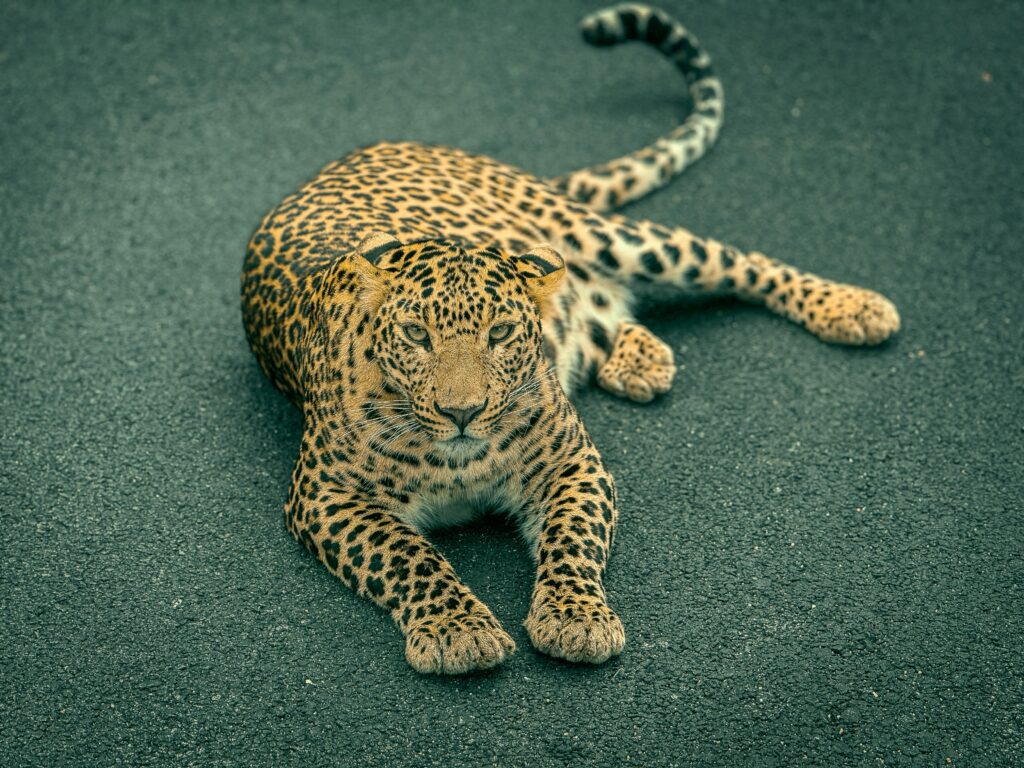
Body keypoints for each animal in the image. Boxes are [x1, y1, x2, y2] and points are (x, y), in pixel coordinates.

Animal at [242, 3, 900, 674]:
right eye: (416, 335)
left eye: (501, 333)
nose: (462, 413)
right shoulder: (325, 495)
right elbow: (409, 556)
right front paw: (458, 631)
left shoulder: (571, 463)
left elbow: (571, 540)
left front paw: (575, 618)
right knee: (604, 306)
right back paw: (640, 360)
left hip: (609, 236)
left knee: (743, 262)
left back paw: (853, 307)